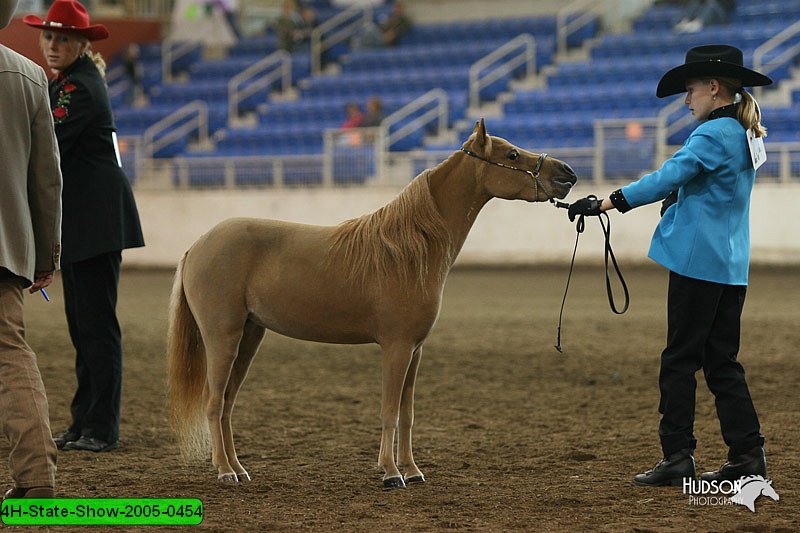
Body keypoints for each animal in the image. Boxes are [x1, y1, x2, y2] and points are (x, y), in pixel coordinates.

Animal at [167, 119, 576, 486]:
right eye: (512, 154)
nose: (567, 173)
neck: (410, 249)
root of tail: (198, 245)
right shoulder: (396, 347)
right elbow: (389, 412)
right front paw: (392, 473)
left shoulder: (415, 351)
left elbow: (407, 414)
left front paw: (412, 470)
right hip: (223, 337)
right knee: (213, 402)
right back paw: (224, 471)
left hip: (250, 337)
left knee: (227, 404)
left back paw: (239, 469)